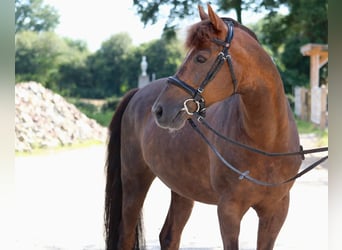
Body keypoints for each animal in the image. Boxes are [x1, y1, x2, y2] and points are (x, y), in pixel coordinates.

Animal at [105, 4, 302, 250]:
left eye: (200, 58)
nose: (159, 110)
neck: (266, 143)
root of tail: (138, 92)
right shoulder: (229, 211)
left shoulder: (276, 210)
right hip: (134, 181)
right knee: (126, 234)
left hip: (181, 187)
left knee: (169, 236)